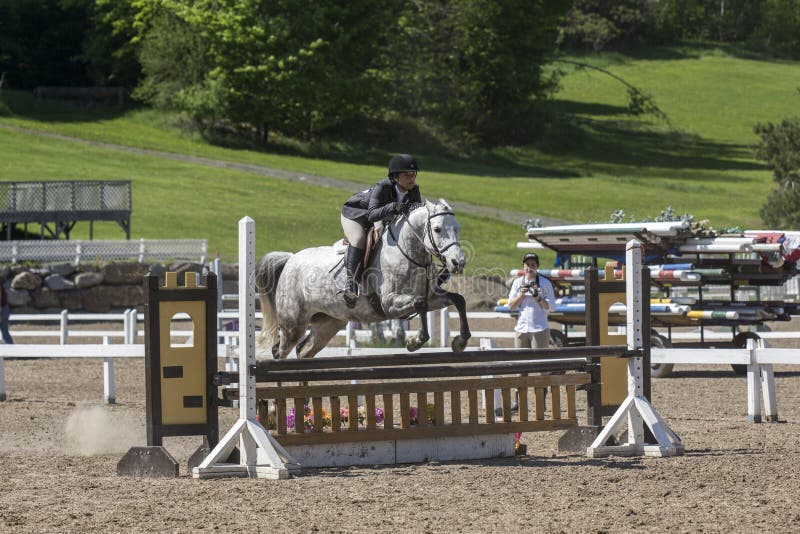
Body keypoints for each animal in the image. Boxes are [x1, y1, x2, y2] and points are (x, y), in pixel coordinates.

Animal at [256, 199, 472, 359]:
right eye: (437, 229)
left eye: (458, 228)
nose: (458, 262)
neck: (410, 254)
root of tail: (291, 259)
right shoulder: (389, 303)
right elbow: (420, 304)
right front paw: (414, 342)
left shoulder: (432, 297)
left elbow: (458, 300)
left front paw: (460, 342)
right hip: (293, 323)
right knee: (279, 351)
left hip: (328, 322)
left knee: (304, 350)